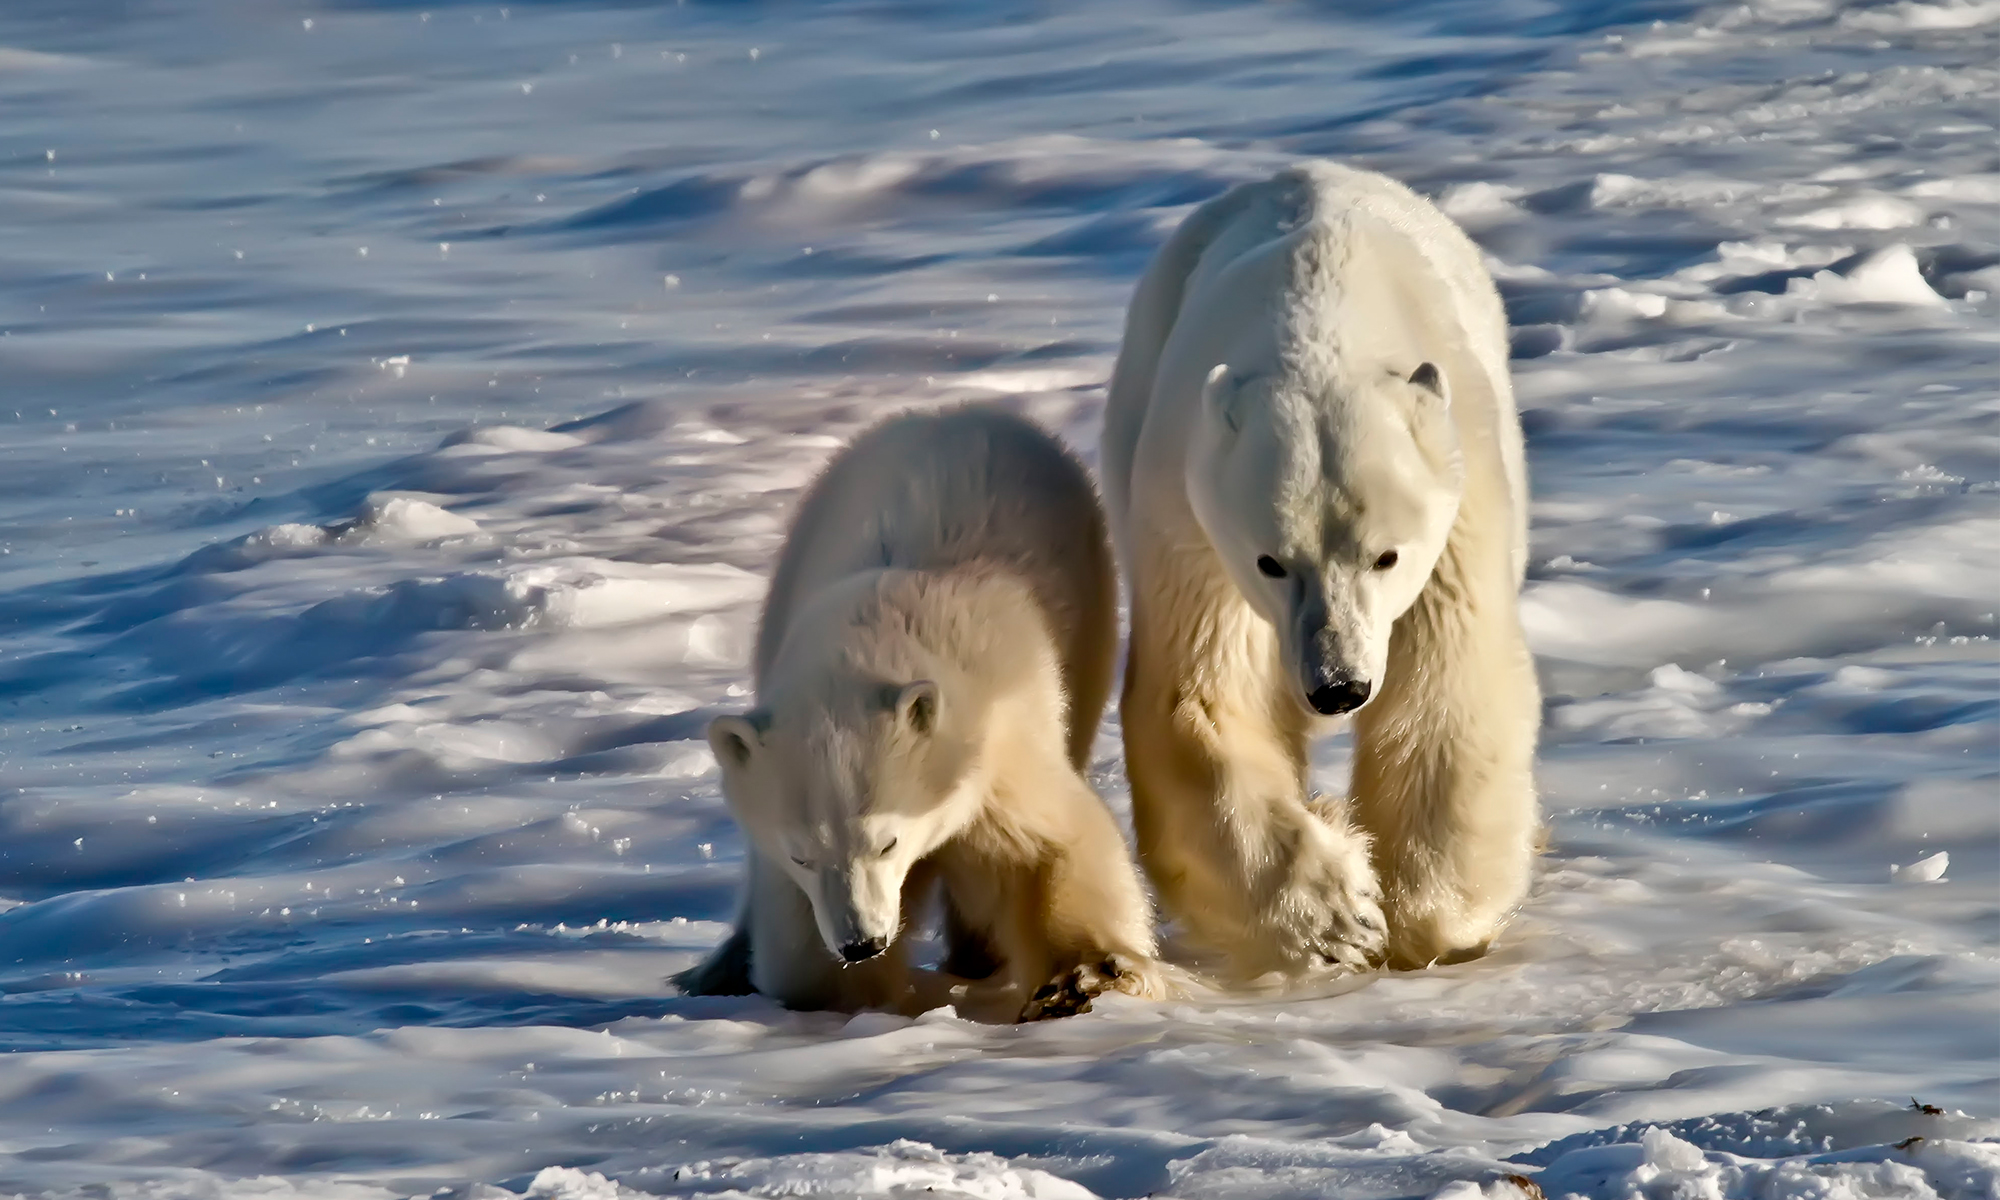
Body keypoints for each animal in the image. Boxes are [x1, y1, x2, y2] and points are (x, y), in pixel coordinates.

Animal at [680, 406, 1168, 1020]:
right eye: (802, 855)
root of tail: (953, 412)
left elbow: (1052, 843)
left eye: (886, 841)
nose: (861, 941)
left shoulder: (997, 743)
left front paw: (1085, 977)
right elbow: (801, 949)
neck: (870, 639)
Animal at [1104, 159, 1536, 976]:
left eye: (1386, 555)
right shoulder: (1192, 518)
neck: (1320, 325)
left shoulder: (1459, 507)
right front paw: (1341, 914)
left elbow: (1447, 690)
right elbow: (1204, 697)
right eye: (1271, 561)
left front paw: (1425, 916)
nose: (1339, 687)